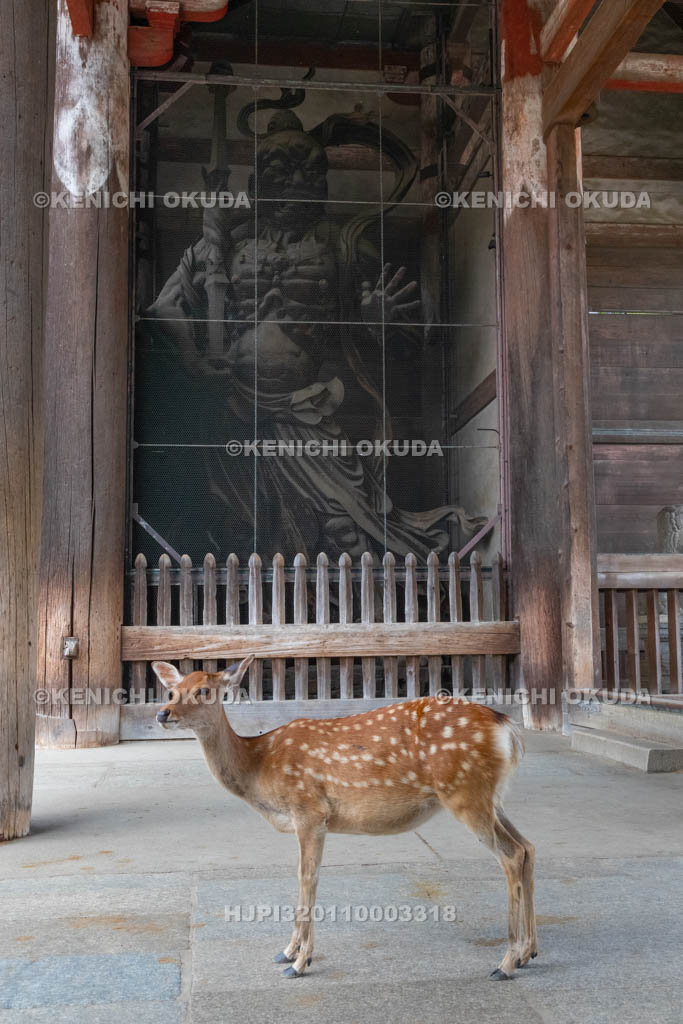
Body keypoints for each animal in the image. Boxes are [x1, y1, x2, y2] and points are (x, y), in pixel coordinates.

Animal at [152, 655, 537, 980]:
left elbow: (307, 877)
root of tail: (507, 729)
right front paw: (287, 951)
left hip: (465, 792)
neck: (259, 765)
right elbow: (304, 878)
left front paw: (299, 962)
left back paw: (505, 963)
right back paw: (528, 953)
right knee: (528, 847)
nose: (163, 713)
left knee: (511, 854)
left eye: (204, 690)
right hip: (491, 798)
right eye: (172, 689)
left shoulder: (309, 810)